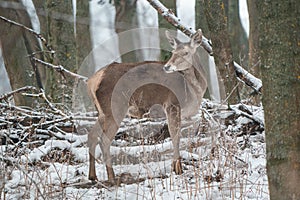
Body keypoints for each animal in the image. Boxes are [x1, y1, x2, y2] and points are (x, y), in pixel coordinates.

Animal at [88, 29, 207, 184]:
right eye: (173, 52)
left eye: (186, 52)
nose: (167, 66)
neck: (193, 89)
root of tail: (92, 81)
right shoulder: (172, 104)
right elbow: (175, 136)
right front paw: (178, 169)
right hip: (115, 107)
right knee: (104, 139)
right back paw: (112, 177)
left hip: (102, 112)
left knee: (92, 135)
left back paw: (92, 176)